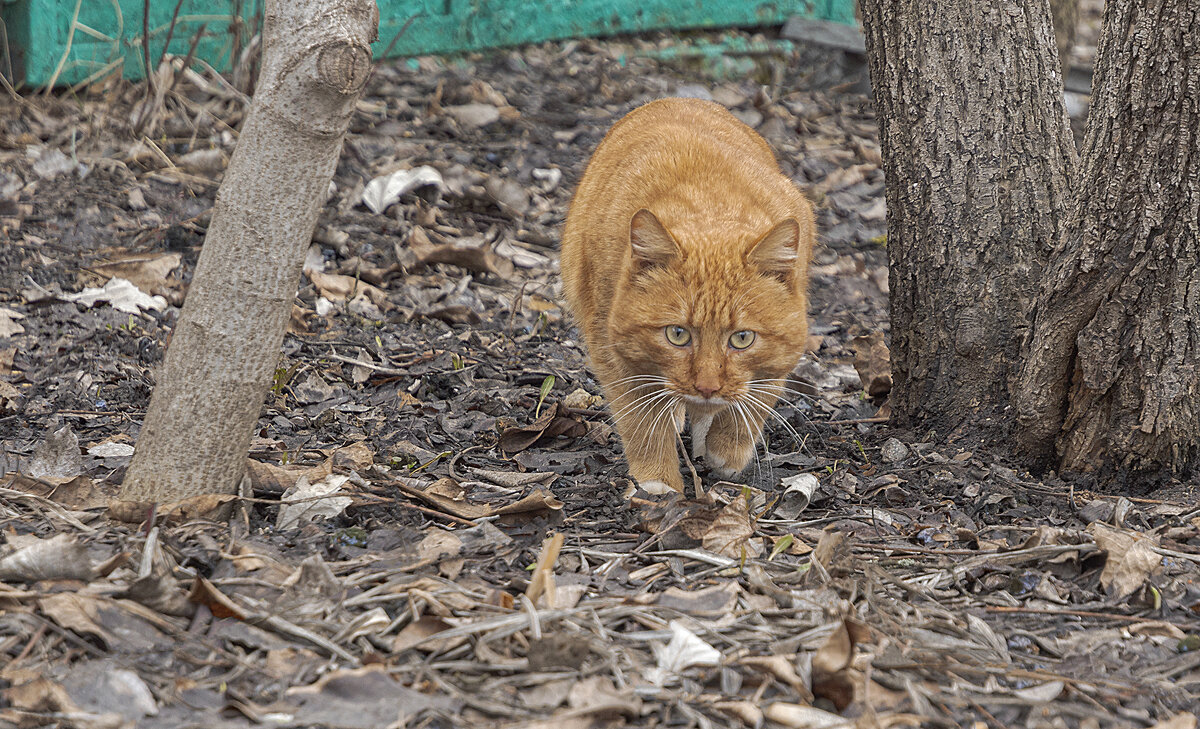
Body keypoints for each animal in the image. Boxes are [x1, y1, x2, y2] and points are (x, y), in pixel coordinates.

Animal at [561, 97, 816, 491]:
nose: (707, 387)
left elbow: (758, 397)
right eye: (677, 334)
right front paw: (659, 481)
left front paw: (727, 448)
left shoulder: (782, 348)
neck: (710, 205)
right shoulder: (610, 346)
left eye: (742, 338)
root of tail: (678, 98)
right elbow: (641, 420)